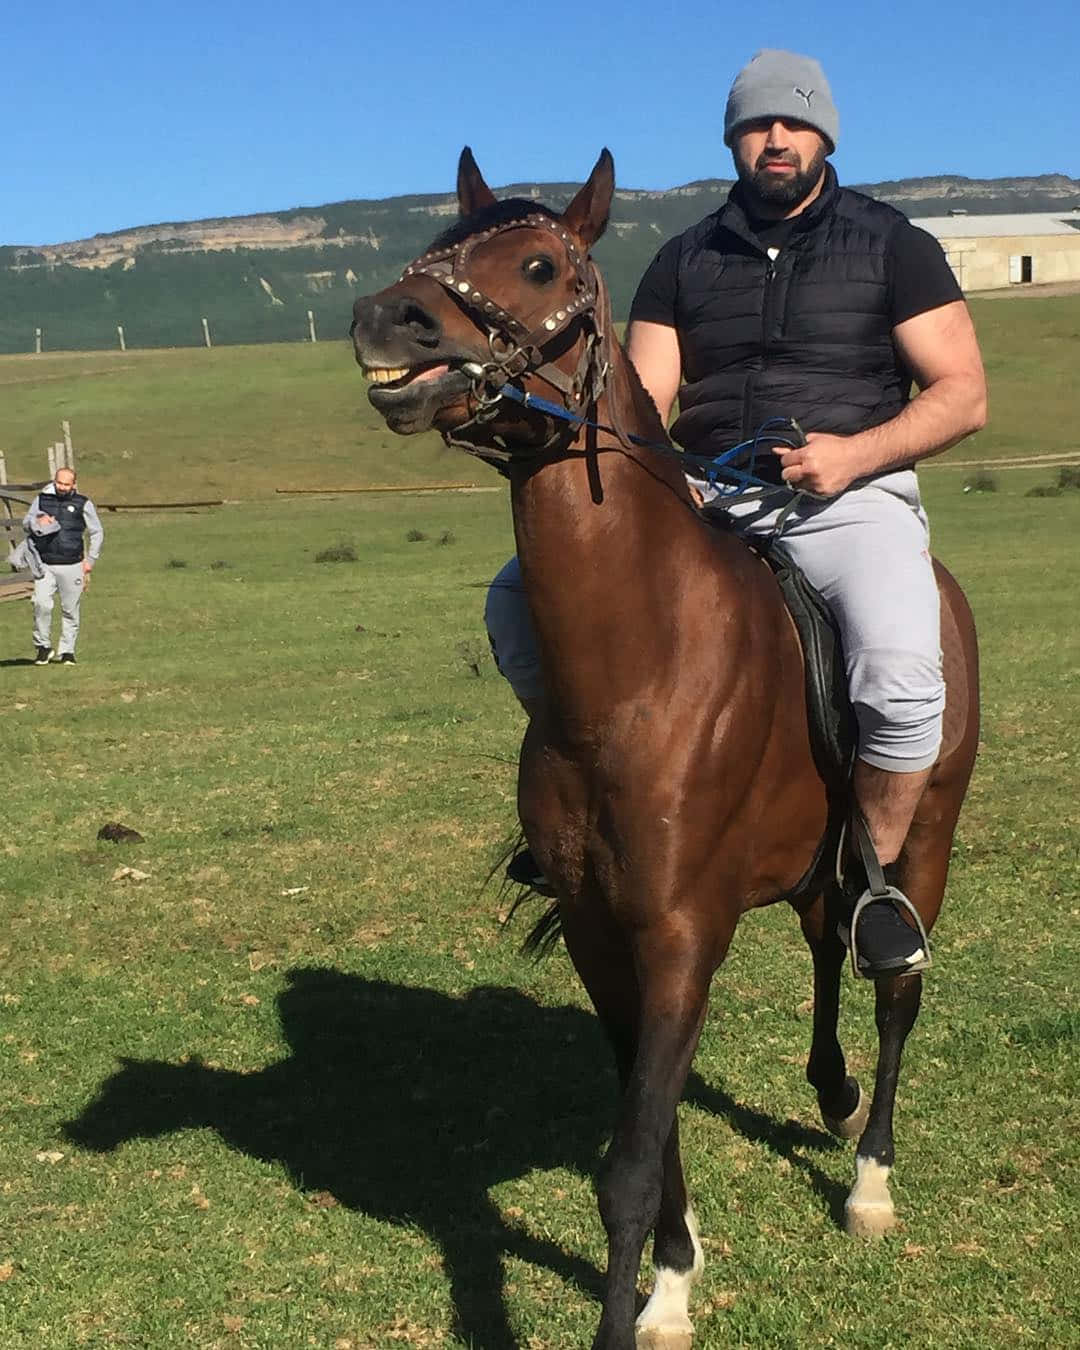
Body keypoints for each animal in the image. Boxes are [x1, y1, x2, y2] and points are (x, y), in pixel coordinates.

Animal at [349, 148, 980, 1350]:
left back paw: (871, 1174)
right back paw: (830, 1096)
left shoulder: (683, 933)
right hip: (809, 859)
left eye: (540, 265)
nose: (383, 319)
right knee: (826, 936)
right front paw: (677, 1283)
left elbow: (631, 1168)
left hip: (923, 837)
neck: (637, 675)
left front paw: (648, 1301)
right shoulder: (607, 935)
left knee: (893, 985)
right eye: (435, 249)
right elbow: (656, 1134)